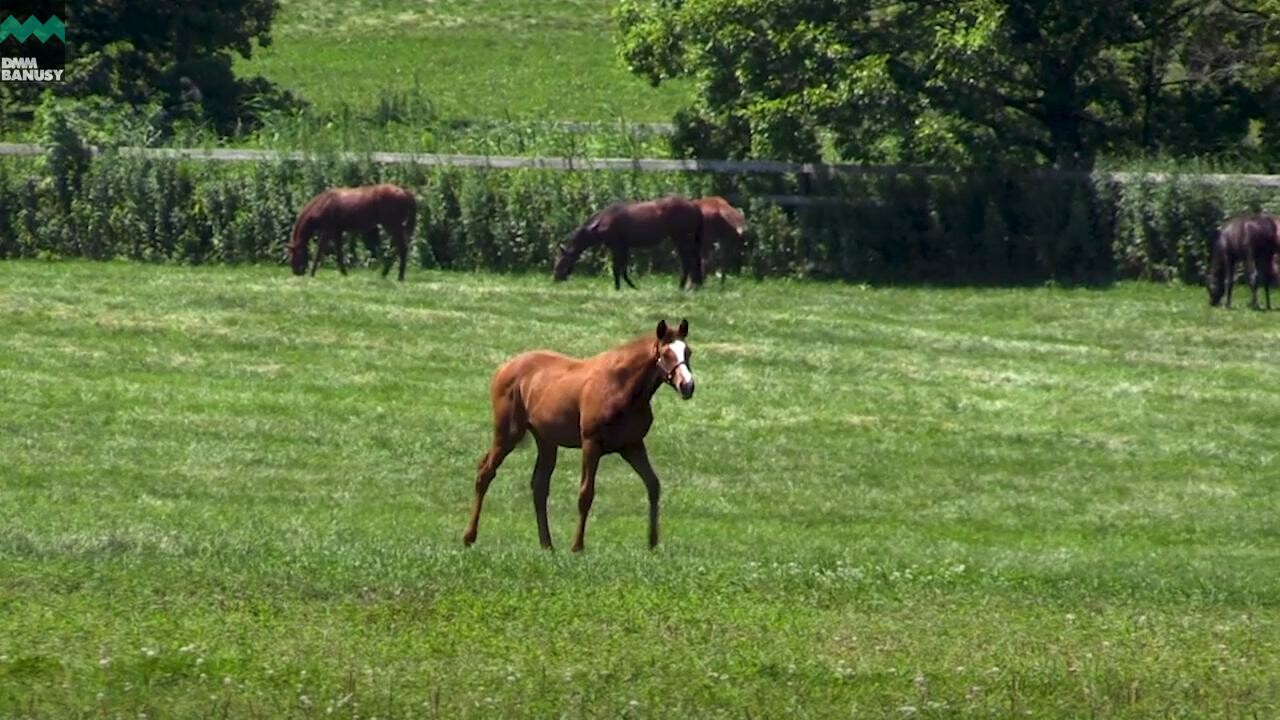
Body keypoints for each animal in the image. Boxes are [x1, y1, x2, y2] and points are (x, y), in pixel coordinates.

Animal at [285, 183, 414, 279]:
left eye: (295, 254)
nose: (297, 272)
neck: (323, 204)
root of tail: (405, 193)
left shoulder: (327, 231)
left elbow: (319, 251)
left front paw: (312, 273)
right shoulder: (337, 232)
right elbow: (339, 253)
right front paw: (344, 273)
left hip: (391, 225)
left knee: (401, 247)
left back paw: (396, 276)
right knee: (400, 247)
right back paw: (388, 273)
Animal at [463, 316, 701, 545]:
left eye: (688, 352)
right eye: (666, 354)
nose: (687, 386)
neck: (620, 386)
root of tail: (503, 368)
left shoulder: (632, 445)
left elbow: (653, 485)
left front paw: (652, 543)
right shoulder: (591, 444)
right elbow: (586, 494)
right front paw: (577, 546)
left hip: (546, 441)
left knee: (539, 486)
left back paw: (547, 545)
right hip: (508, 434)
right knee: (485, 473)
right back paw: (469, 537)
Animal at [552, 196, 711, 288]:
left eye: (561, 262)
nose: (556, 278)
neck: (601, 223)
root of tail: (695, 207)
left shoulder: (616, 247)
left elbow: (617, 268)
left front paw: (619, 288)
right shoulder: (624, 247)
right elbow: (623, 269)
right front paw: (630, 286)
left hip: (682, 238)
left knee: (689, 261)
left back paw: (684, 285)